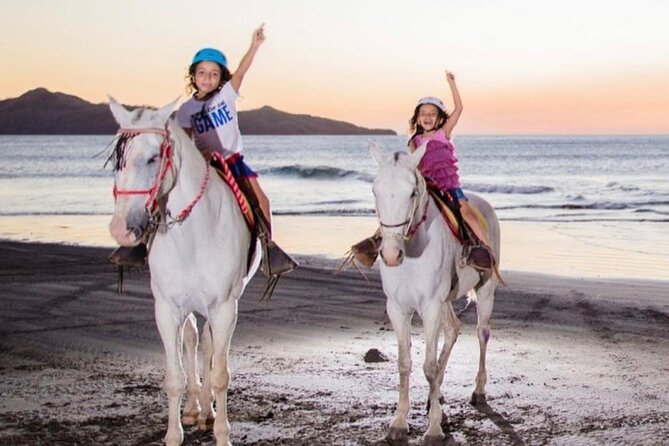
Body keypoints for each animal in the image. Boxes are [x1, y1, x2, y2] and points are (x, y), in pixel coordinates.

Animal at [106, 99, 258, 444]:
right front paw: (174, 434)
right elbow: (174, 376)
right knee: (191, 340)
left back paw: (206, 411)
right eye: (117, 160)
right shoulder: (166, 309)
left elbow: (220, 373)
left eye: (153, 157)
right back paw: (193, 409)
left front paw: (222, 433)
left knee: (207, 344)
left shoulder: (225, 308)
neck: (194, 235)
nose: (121, 229)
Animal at [370, 144, 500, 446]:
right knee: (452, 331)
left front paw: (433, 429)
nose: (391, 254)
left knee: (482, 333)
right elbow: (404, 363)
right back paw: (437, 395)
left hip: (485, 290)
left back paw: (478, 390)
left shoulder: (430, 306)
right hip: (446, 301)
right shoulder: (397, 308)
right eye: (375, 191)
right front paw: (399, 423)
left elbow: (428, 366)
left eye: (412, 193)